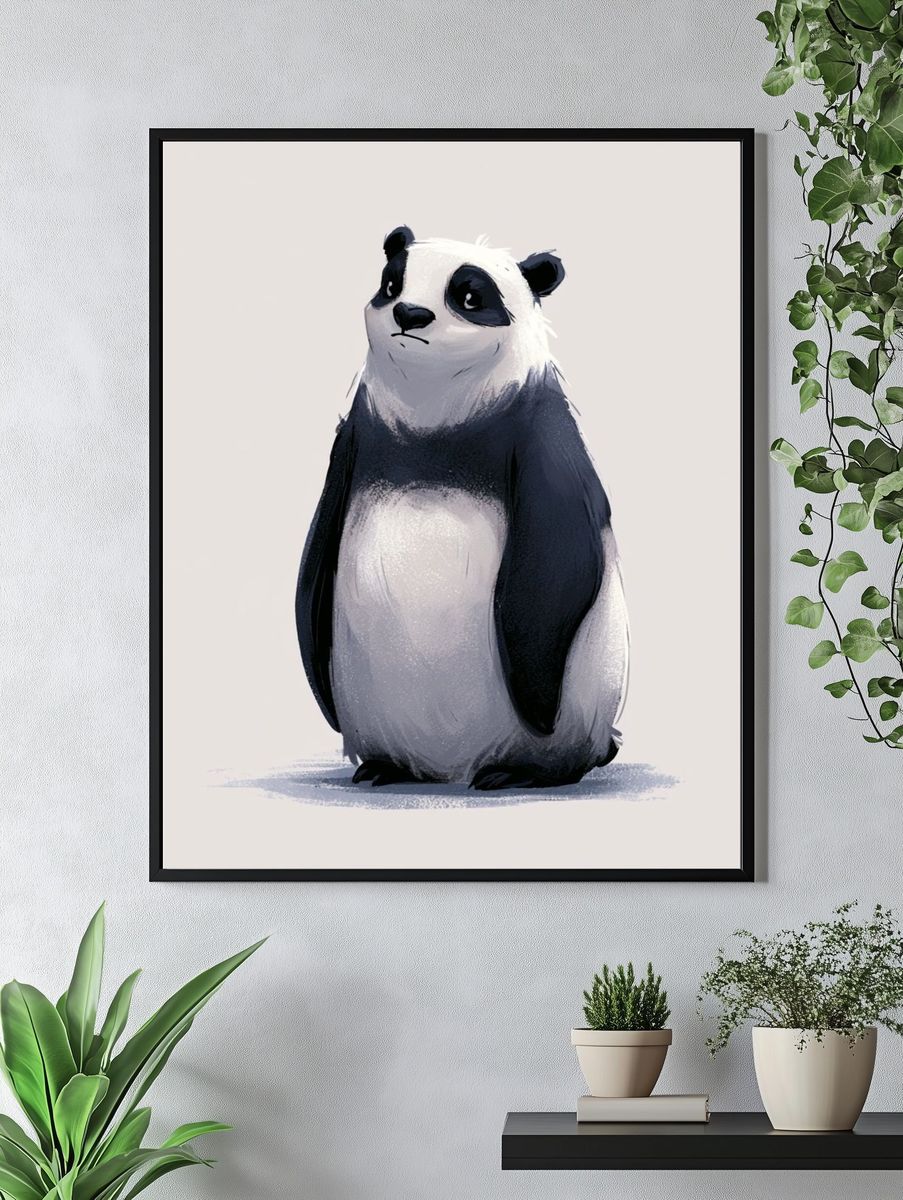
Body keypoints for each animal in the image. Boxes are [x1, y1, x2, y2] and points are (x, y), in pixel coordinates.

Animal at [296, 225, 628, 789]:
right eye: (392, 283)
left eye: (470, 297)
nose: (410, 314)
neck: (435, 412)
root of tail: (450, 768)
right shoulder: (355, 437)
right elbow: (315, 556)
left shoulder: (541, 433)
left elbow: (556, 561)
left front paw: (535, 700)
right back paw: (387, 767)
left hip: (585, 700)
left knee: (564, 749)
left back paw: (519, 772)